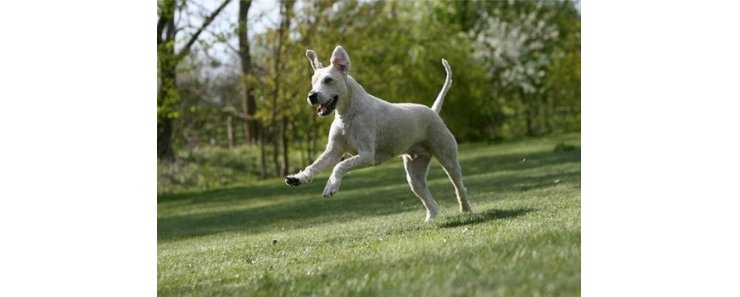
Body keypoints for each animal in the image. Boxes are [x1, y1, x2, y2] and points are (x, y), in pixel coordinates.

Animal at [286, 44, 472, 220]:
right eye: (313, 81)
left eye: (328, 79)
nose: (312, 95)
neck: (348, 113)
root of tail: (433, 111)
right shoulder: (333, 151)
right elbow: (315, 165)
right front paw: (298, 177)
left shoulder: (367, 155)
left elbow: (340, 165)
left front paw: (331, 186)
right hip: (414, 175)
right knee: (431, 202)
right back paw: (430, 220)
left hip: (448, 158)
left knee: (459, 186)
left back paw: (465, 210)